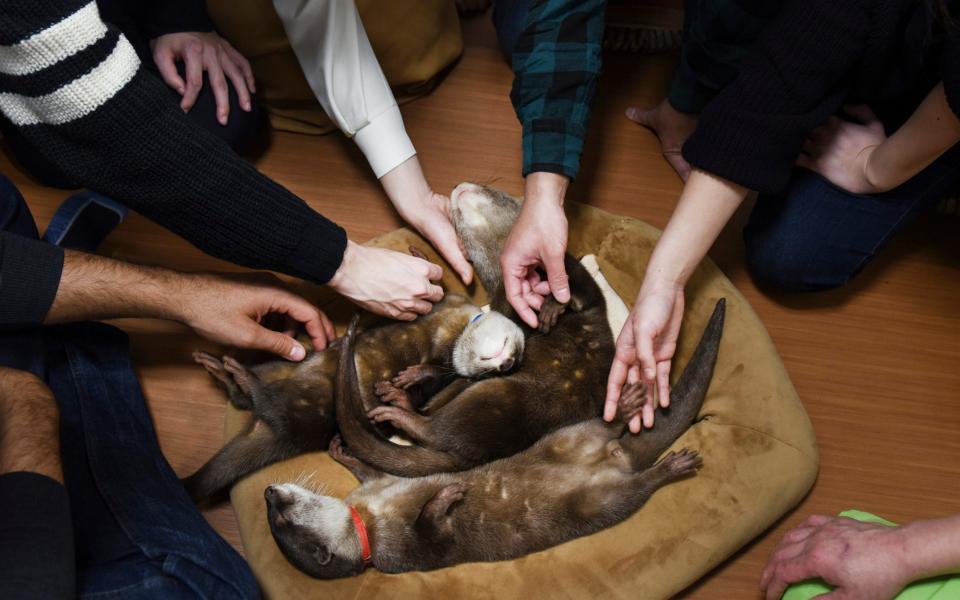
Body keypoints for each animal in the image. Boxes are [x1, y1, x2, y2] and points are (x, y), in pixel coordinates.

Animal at [180, 294, 524, 506]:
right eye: (515, 346)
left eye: (516, 354)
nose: (505, 364)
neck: (456, 321)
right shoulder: (444, 304)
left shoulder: (444, 363)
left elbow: (437, 371)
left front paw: (411, 376)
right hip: (283, 365)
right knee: (247, 398)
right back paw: (221, 368)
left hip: (308, 404)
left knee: (264, 404)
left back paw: (241, 376)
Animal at [266, 298, 724, 580]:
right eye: (281, 519)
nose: (270, 493)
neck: (372, 517)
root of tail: (618, 456)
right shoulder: (410, 550)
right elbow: (435, 533)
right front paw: (444, 498)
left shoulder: (383, 486)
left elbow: (369, 467)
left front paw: (345, 450)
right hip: (603, 496)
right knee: (639, 487)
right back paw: (668, 463)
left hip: (570, 432)